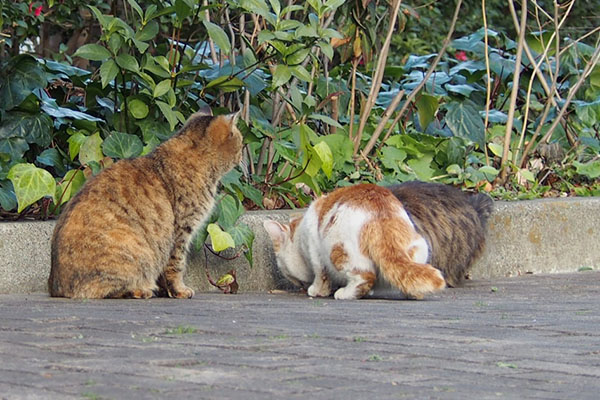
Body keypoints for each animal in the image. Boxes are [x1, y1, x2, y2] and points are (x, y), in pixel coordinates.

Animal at [48, 111, 243, 298]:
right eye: (241, 141)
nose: (243, 153)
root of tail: (56, 287)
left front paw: (167, 290)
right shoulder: (180, 232)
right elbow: (176, 265)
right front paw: (179, 290)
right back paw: (142, 290)